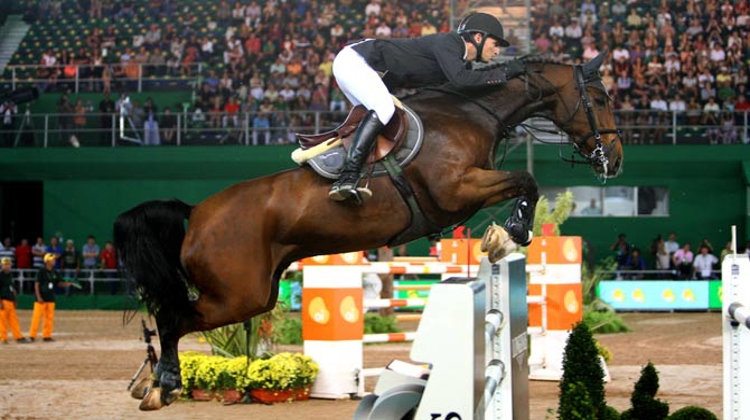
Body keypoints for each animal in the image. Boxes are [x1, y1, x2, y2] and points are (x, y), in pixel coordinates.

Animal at [116, 50, 624, 408]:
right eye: (599, 99)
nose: (614, 160)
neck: (472, 112)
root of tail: (196, 211)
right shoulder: (456, 190)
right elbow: (527, 180)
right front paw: (510, 233)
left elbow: (524, 183)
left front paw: (503, 236)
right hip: (238, 295)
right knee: (174, 318)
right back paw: (162, 386)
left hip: (253, 294)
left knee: (174, 315)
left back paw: (151, 383)